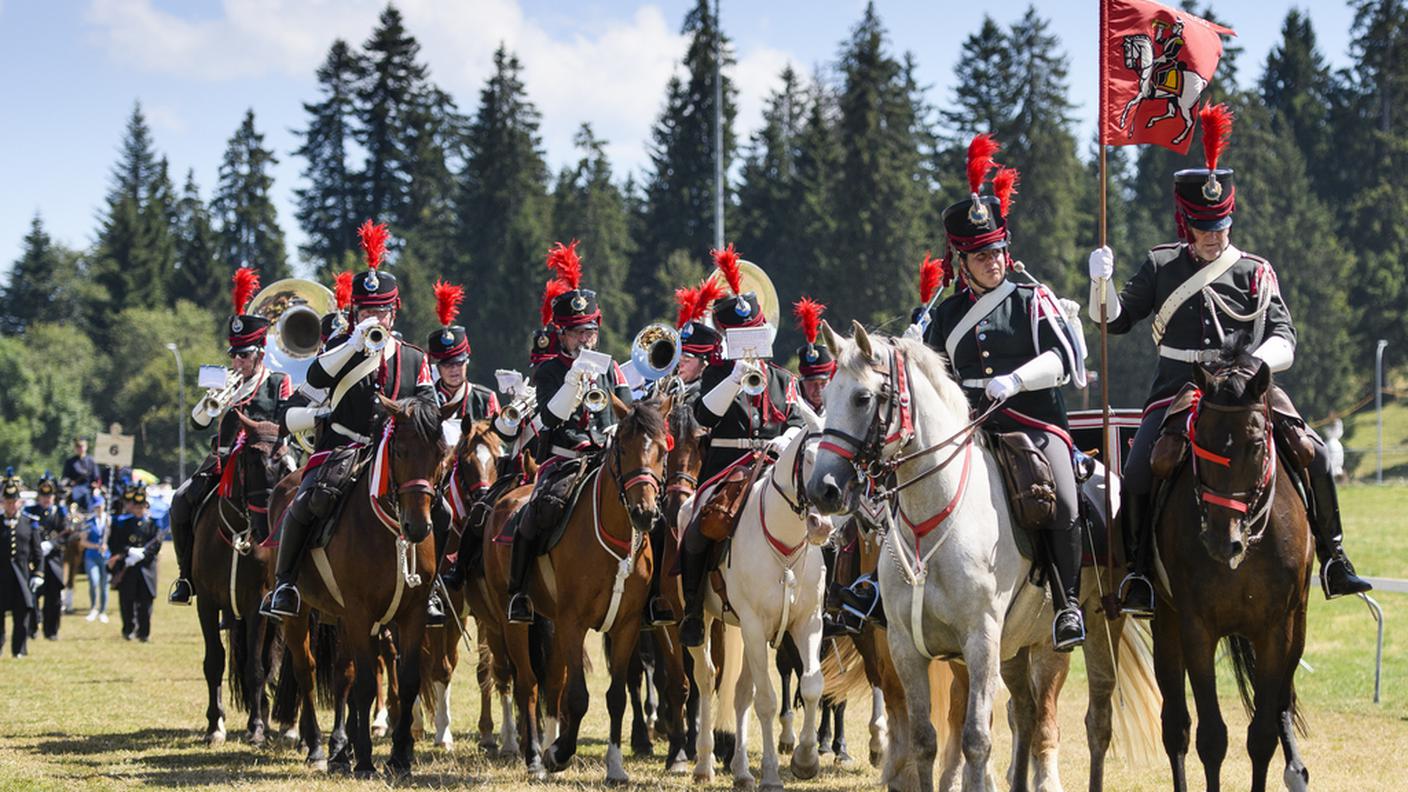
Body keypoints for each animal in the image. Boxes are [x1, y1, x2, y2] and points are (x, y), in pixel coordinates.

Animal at [270, 391, 450, 772]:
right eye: (400, 451)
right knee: (307, 671)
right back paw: (318, 747)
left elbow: (406, 680)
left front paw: (399, 757)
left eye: (441, 452)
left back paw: (341, 747)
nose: (417, 527)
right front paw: (366, 759)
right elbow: (366, 683)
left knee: (343, 673)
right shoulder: (359, 611)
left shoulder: (411, 614)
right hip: (301, 614)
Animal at [484, 391, 670, 777]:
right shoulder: (574, 622)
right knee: (528, 684)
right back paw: (535, 756)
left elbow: (615, 696)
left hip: (551, 622)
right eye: (623, 448)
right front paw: (558, 753)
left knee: (553, 682)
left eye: (662, 449)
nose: (645, 513)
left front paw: (614, 768)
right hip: (512, 620)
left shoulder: (626, 626)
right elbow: (579, 696)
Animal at [684, 403, 833, 783]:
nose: (821, 525)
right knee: (707, 678)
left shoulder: (807, 621)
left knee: (741, 693)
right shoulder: (752, 625)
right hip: (706, 621)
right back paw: (704, 764)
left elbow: (812, 684)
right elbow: (766, 700)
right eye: (809, 458)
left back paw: (740, 770)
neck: (785, 545)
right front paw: (770, 773)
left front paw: (806, 759)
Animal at [811, 321, 1070, 789]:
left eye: (862, 398)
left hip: (1048, 646)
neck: (931, 516)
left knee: (1043, 723)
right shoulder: (904, 646)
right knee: (1022, 712)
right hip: (1012, 649)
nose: (823, 489)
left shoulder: (981, 640)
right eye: (824, 399)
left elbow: (976, 739)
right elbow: (923, 739)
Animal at [1154, 350, 1306, 789]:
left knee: (1281, 704)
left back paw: (1296, 768)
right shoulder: (1196, 627)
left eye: (1255, 444)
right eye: (1198, 440)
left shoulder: (1276, 629)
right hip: (1165, 624)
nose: (1224, 542)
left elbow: (1262, 735)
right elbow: (1211, 737)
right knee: (1175, 726)